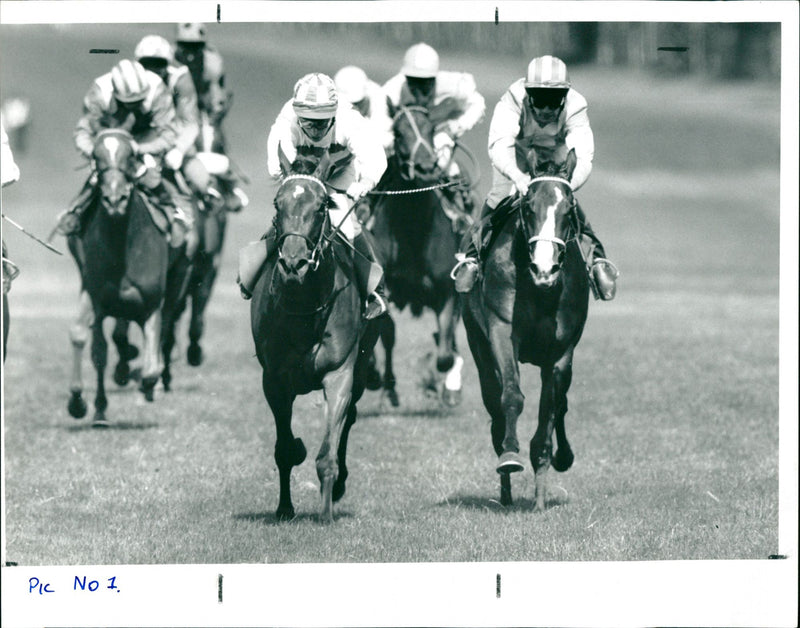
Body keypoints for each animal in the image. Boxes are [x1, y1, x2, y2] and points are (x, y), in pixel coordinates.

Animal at [67, 128, 169, 424]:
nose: (114, 199)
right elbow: (93, 348)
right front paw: (81, 403)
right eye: (96, 158)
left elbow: (150, 370)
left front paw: (148, 387)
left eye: (130, 157)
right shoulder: (97, 299)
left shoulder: (151, 304)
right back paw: (99, 408)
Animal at [252, 150, 380, 524]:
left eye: (322, 206)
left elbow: (327, 452)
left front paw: (325, 512)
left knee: (350, 418)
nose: (293, 264)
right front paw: (284, 507)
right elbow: (283, 449)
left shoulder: (340, 374)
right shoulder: (274, 379)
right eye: (277, 203)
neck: (304, 309)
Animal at [368, 102, 468, 408]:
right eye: (398, 133)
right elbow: (387, 333)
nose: (425, 166)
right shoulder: (385, 289)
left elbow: (445, 354)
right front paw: (382, 382)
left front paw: (442, 385)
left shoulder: (448, 291)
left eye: (432, 129)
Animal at [460, 148, 592, 510]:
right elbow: (511, 396)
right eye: (529, 206)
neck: (540, 289)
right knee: (493, 399)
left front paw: (541, 495)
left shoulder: (561, 352)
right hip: (477, 344)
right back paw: (504, 488)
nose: (544, 268)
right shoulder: (501, 331)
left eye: (569, 208)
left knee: (560, 405)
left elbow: (550, 409)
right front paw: (509, 456)